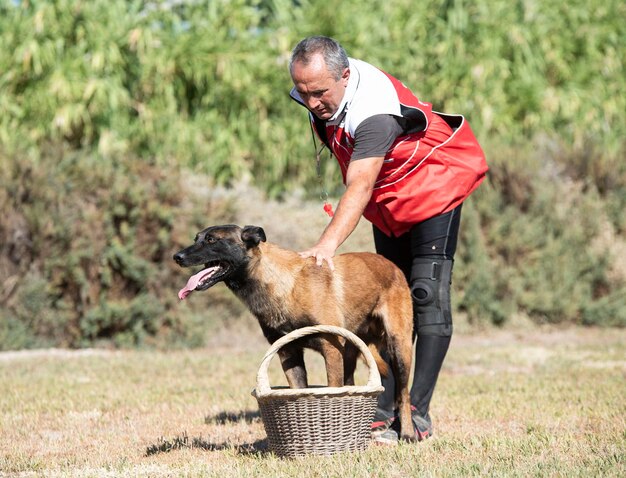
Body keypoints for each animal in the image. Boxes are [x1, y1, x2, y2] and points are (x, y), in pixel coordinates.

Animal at [173, 224, 414, 440]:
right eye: (197, 238)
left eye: (212, 240)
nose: (177, 257)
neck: (285, 285)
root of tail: (392, 265)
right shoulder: (288, 353)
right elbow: (299, 390)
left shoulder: (330, 348)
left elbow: (333, 389)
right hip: (350, 354)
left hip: (399, 349)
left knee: (403, 395)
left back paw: (408, 433)